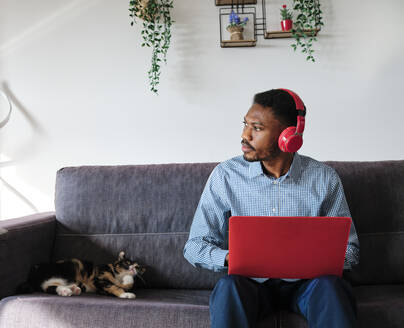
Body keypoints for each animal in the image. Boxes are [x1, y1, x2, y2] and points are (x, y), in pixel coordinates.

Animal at [18, 251, 147, 300]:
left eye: (138, 267)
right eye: (127, 263)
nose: (133, 268)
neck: (118, 277)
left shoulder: (101, 289)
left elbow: (126, 284)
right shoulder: (99, 278)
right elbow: (114, 286)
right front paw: (126, 294)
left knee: (48, 286)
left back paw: (73, 289)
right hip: (61, 273)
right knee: (45, 286)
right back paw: (66, 291)